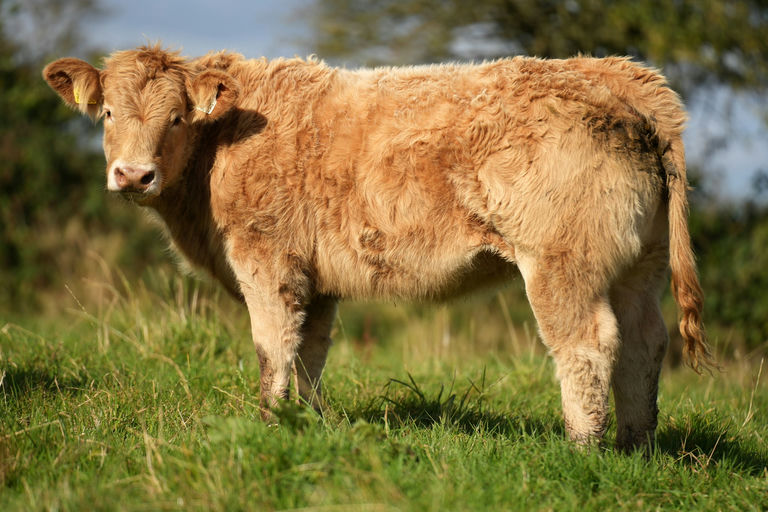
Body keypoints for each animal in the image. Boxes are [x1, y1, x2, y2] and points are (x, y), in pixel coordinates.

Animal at [43, 44, 712, 450]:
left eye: (178, 118)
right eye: (108, 112)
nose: (134, 175)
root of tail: (622, 76)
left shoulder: (267, 261)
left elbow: (271, 349)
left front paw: (266, 428)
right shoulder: (315, 280)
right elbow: (308, 355)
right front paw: (304, 424)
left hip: (562, 264)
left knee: (587, 346)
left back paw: (582, 449)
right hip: (638, 266)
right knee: (645, 343)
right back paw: (634, 446)